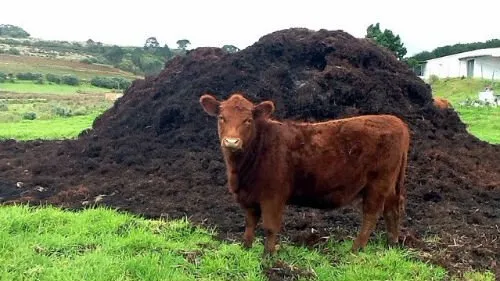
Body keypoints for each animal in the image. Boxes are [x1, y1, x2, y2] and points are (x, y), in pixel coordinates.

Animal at [199, 92, 410, 254]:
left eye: (248, 120)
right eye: (221, 118)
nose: (231, 142)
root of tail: (396, 121)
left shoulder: (273, 196)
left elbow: (270, 227)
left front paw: (268, 255)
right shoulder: (249, 197)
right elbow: (250, 224)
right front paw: (246, 248)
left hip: (378, 183)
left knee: (371, 214)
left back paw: (356, 248)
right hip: (390, 184)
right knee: (392, 209)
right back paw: (391, 244)